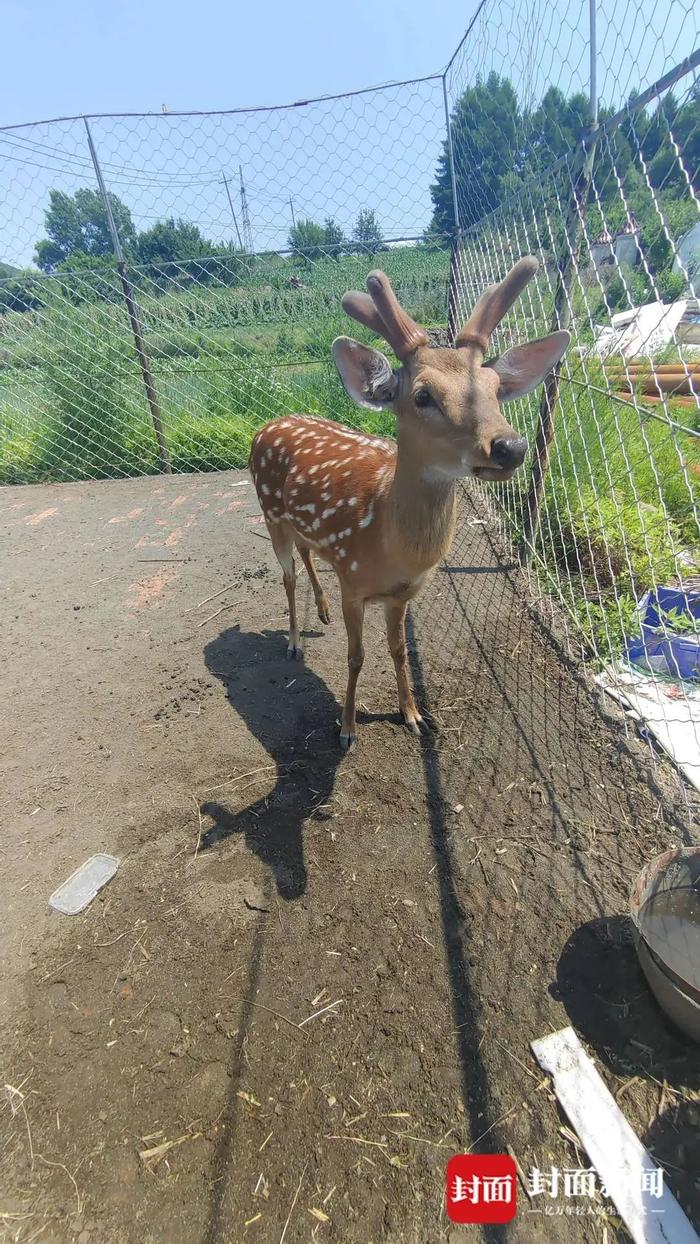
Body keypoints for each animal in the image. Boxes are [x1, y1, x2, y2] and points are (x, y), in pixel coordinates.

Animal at [248, 255, 566, 746]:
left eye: (496, 389)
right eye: (422, 395)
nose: (510, 447)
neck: (387, 541)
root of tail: (266, 425)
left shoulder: (401, 595)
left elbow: (399, 651)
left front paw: (413, 714)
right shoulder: (353, 582)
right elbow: (357, 656)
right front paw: (347, 728)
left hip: (302, 524)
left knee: (306, 552)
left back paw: (319, 613)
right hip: (269, 511)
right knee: (286, 575)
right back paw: (294, 642)